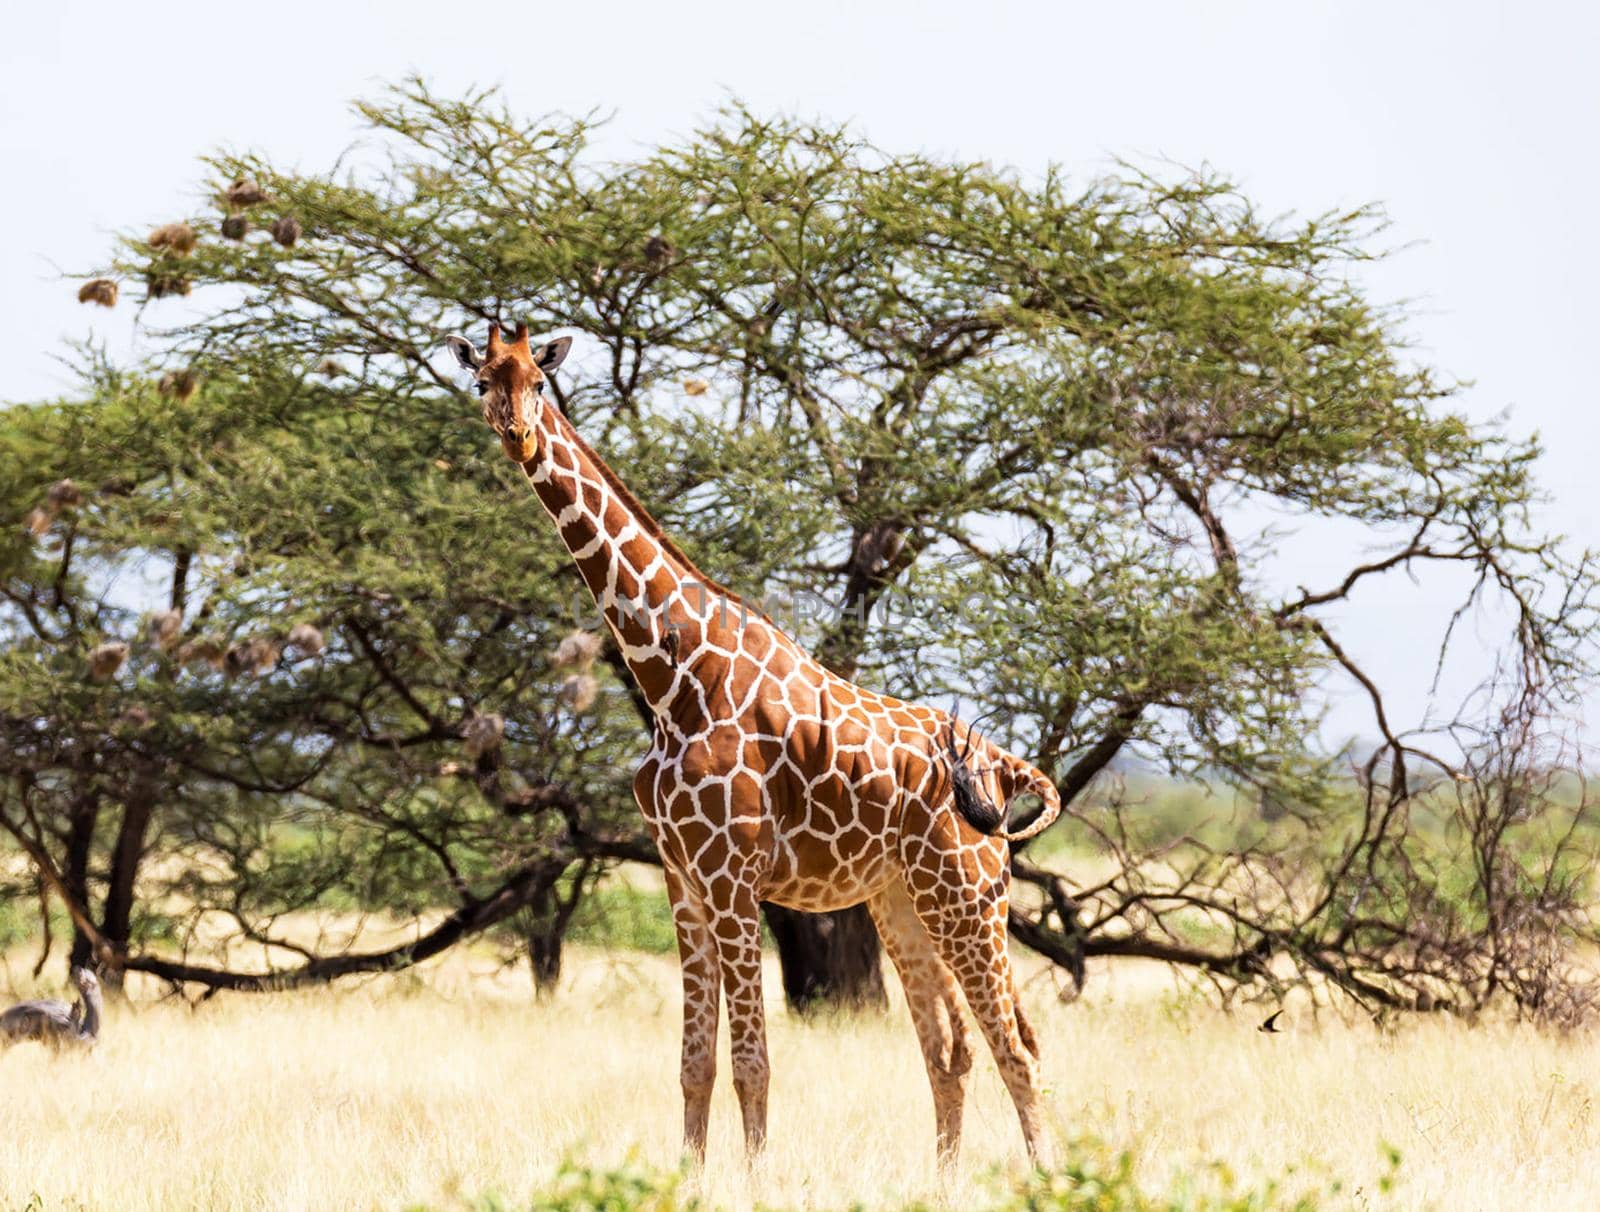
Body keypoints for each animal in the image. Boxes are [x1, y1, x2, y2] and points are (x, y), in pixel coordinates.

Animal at [448, 322, 1062, 1170]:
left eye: (541, 380)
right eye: (483, 381)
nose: (517, 434)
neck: (673, 677)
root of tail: (1002, 765)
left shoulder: (732, 874)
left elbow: (751, 1062)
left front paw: (754, 1178)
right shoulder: (681, 876)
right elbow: (694, 1063)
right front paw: (689, 1175)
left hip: (970, 895)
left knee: (1019, 1049)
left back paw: (1049, 1177)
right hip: (902, 900)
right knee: (950, 1049)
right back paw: (944, 1182)